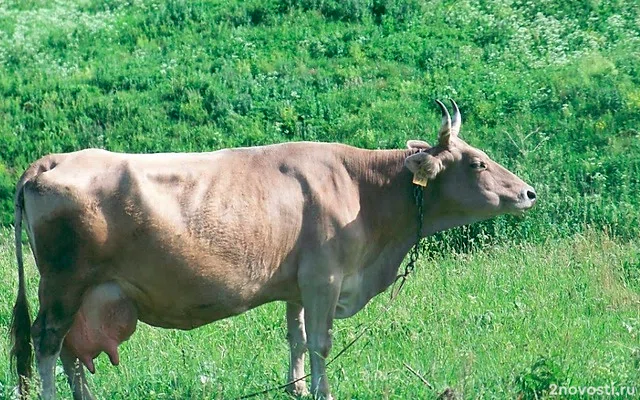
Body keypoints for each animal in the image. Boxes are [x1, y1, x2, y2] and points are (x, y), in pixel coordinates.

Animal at [11, 101, 536, 400]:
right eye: (478, 162)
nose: (529, 193)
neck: (362, 187)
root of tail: (52, 160)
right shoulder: (325, 278)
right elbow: (321, 343)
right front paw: (323, 394)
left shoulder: (298, 286)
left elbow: (297, 340)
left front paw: (297, 389)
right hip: (63, 285)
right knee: (46, 342)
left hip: (86, 293)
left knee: (73, 349)